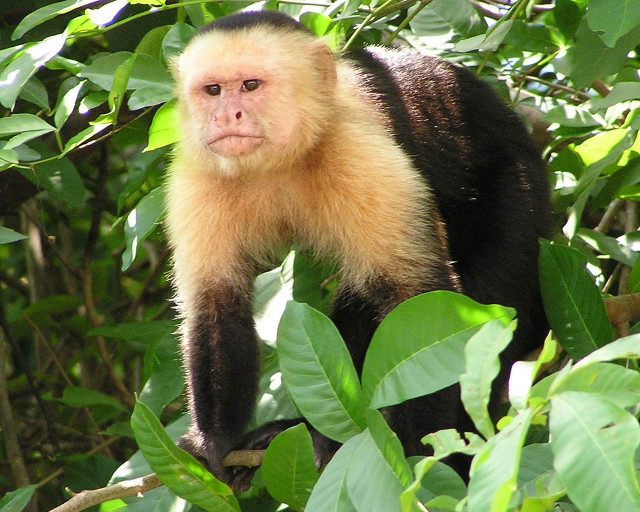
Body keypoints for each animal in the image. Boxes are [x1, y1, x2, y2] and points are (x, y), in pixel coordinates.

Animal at [165, 10, 551, 489]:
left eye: (251, 86)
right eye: (213, 90)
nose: (225, 115)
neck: (280, 163)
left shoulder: (359, 155)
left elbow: (420, 303)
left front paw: (416, 458)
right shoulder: (199, 174)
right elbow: (216, 303)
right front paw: (214, 442)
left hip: (519, 196)